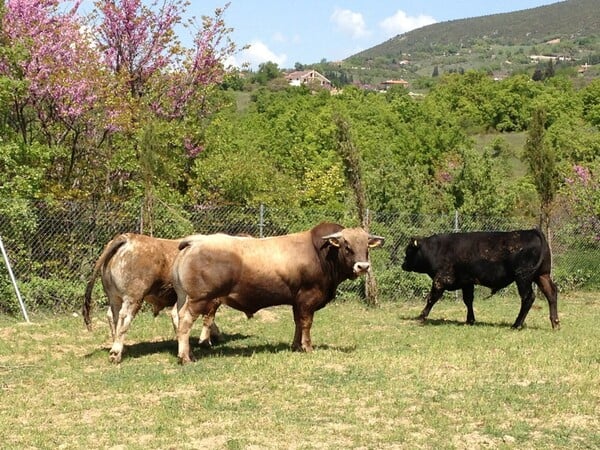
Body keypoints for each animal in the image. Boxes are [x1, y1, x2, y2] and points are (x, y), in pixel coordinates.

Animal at [82, 234, 218, 364]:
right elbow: (207, 319)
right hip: (133, 298)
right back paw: (116, 353)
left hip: (114, 297)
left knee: (112, 316)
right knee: (124, 317)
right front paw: (205, 342)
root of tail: (127, 238)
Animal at [172, 223, 384, 364]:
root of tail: (196, 241)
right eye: (347, 245)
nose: (363, 266)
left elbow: (298, 322)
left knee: (177, 315)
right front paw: (308, 347)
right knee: (185, 321)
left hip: (183, 297)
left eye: (366, 246)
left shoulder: (297, 301)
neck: (320, 254)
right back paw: (186, 357)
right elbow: (306, 324)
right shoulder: (308, 299)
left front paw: (296, 346)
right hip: (199, 299)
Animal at [400, 230, 560, 328]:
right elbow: (468, 300)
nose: (403, 265)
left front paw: (421, 316)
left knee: (528, 298)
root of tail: (531, 231)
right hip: (542, 275)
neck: (436, 249)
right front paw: (470, 320)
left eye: (408, 251)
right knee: (551, 293)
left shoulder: (441, 280)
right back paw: (555, 323)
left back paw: (516, 324)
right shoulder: (467, 282)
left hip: (523, 277)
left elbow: (431, 298)